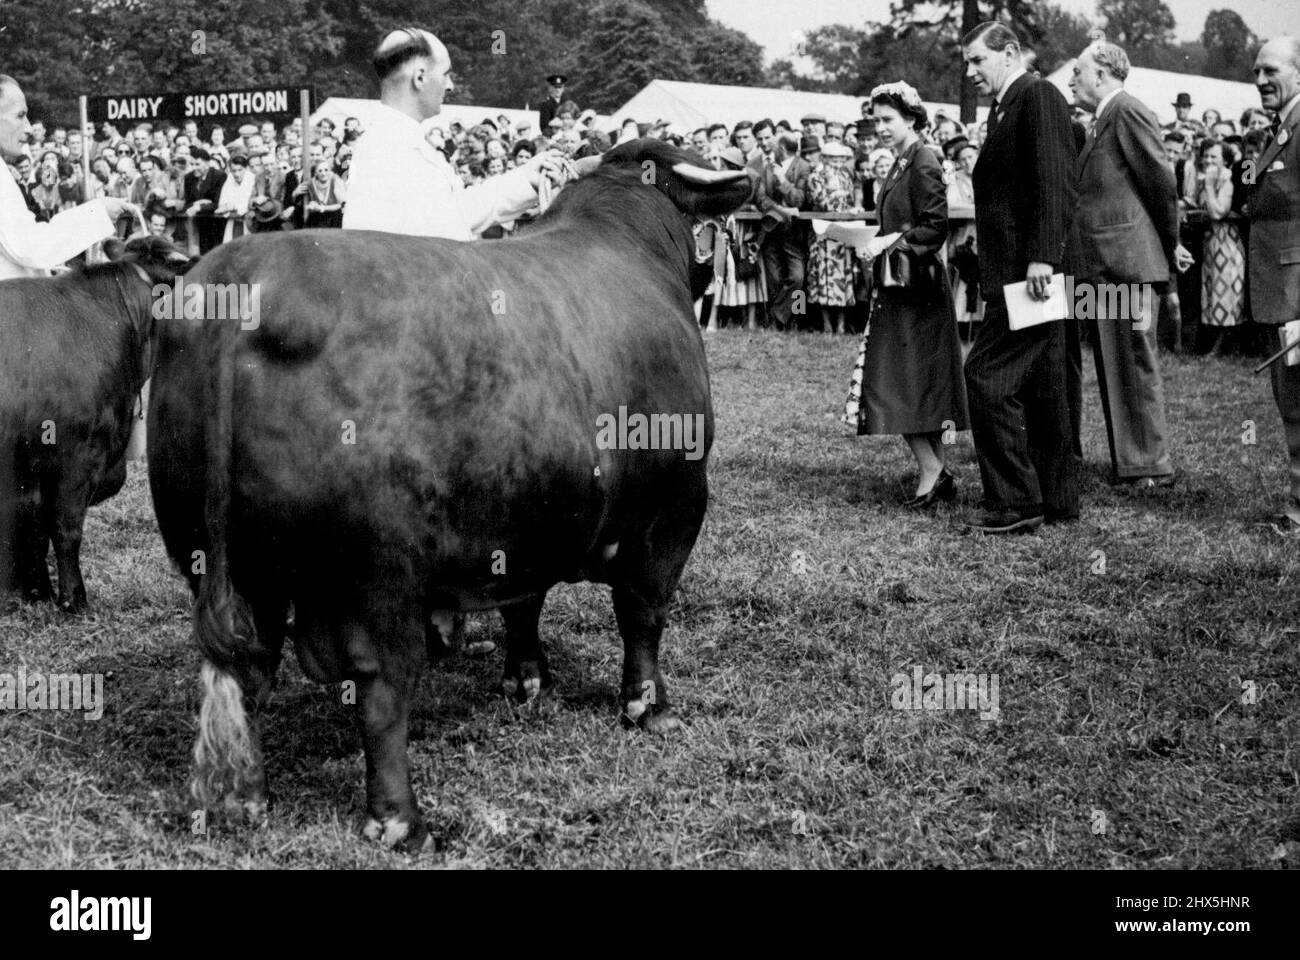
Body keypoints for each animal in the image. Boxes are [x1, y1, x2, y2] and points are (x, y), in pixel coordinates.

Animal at [144, 136, 754, 842]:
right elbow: (643, 613)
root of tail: (238, 277)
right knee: (381, 687)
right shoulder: (675, 506)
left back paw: (250, 798)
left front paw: (526, 681)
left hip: (223, 564)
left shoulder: (526, 515)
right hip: (375, 577)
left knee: (245, 671)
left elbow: (524, 602)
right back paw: (401, 820)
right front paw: (648, 707)